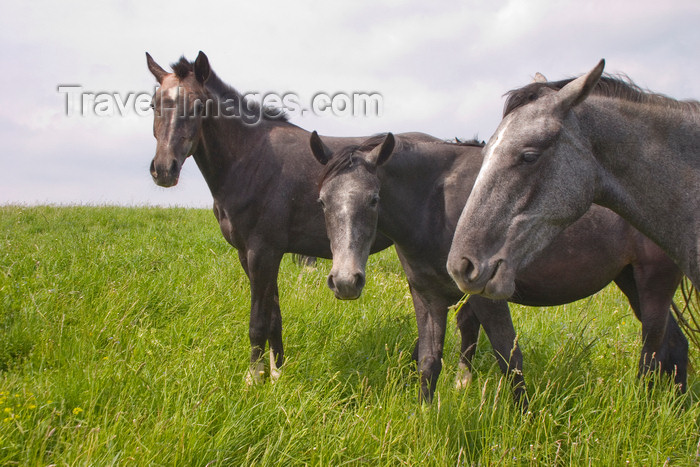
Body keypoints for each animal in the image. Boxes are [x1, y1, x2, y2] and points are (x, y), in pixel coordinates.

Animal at [146, 53, 394, 386]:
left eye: (198, 106)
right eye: (153, 104)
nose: (164, 169)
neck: (252, 159)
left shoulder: (262, 253)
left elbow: (258, 321)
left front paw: (254, 377)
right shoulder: (251, 254)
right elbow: (274, 316)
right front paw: (277, 371)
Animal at [310, 131, 688, 402]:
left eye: (374, 199)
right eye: (323, 201)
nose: (345, 281)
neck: (436, 203)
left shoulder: (485, 297)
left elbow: (509, 357)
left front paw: (525, 421)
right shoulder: (427, 296)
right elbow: (429, 361)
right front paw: (424, 417)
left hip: (654, 281)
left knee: (653, 348)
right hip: (631, 280)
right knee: (675, 343)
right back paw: (678, 406)